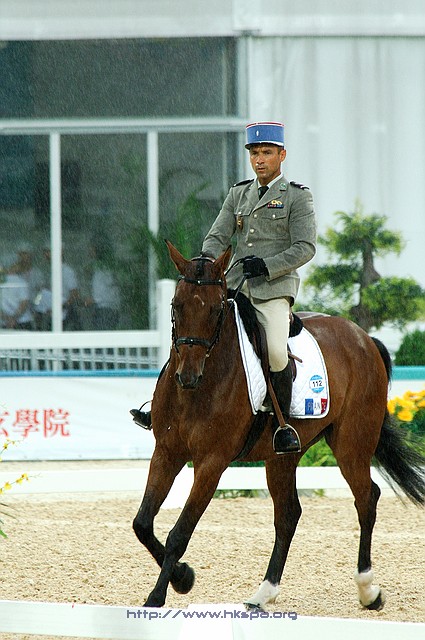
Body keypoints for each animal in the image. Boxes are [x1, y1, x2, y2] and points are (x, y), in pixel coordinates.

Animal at [133, 241, 425, 611]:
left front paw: (160, 594)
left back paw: (368, 590)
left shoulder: (212, 463)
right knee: (288, 514)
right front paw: (183, 577)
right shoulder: (167, 452)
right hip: (282, 456)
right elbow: (142, 523)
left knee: (366, 499)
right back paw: (264, 592)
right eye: (176, 306)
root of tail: (364, 338)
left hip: (352, 444)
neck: (199, 388)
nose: (188, 376)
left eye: (216, 310)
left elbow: (179, 533)